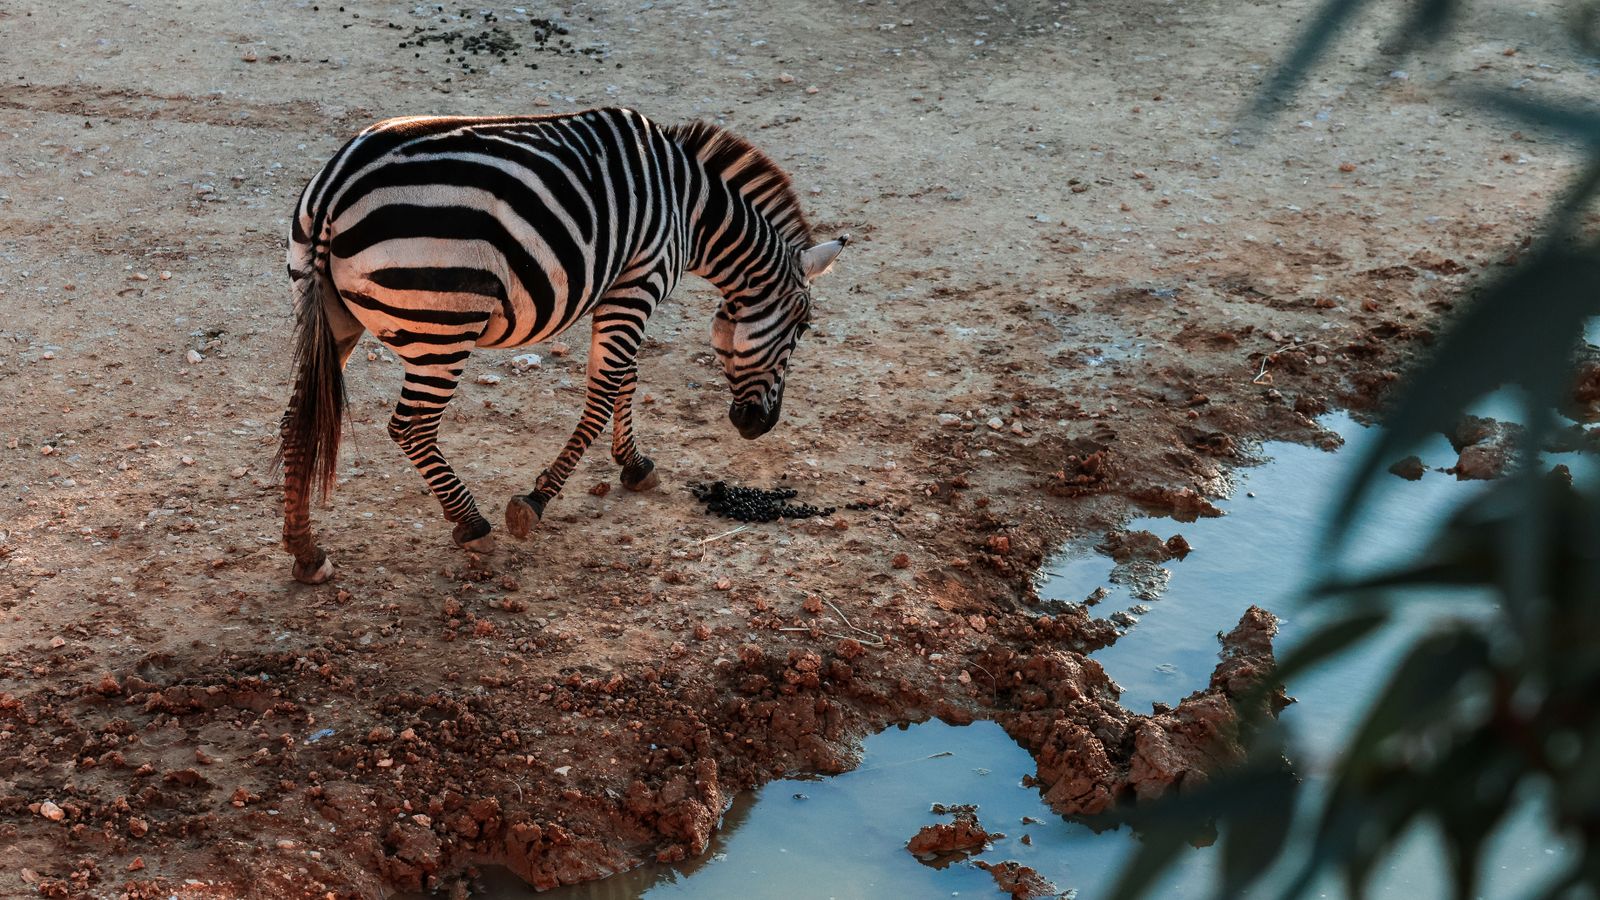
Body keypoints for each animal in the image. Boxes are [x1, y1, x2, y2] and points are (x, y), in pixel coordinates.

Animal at [277, 108, 849, 584]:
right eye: (803, 328)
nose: (759, 427)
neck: (691, 208)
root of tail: (335, 188)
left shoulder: (618, 288)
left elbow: (626, 379)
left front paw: (633, 465)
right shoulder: (638, 281)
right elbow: (604, 392)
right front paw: (536, 500)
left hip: (329, 311)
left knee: (295, 420)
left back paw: (306, 552)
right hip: (443, 325)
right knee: (411, 427)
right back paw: (472, 525)